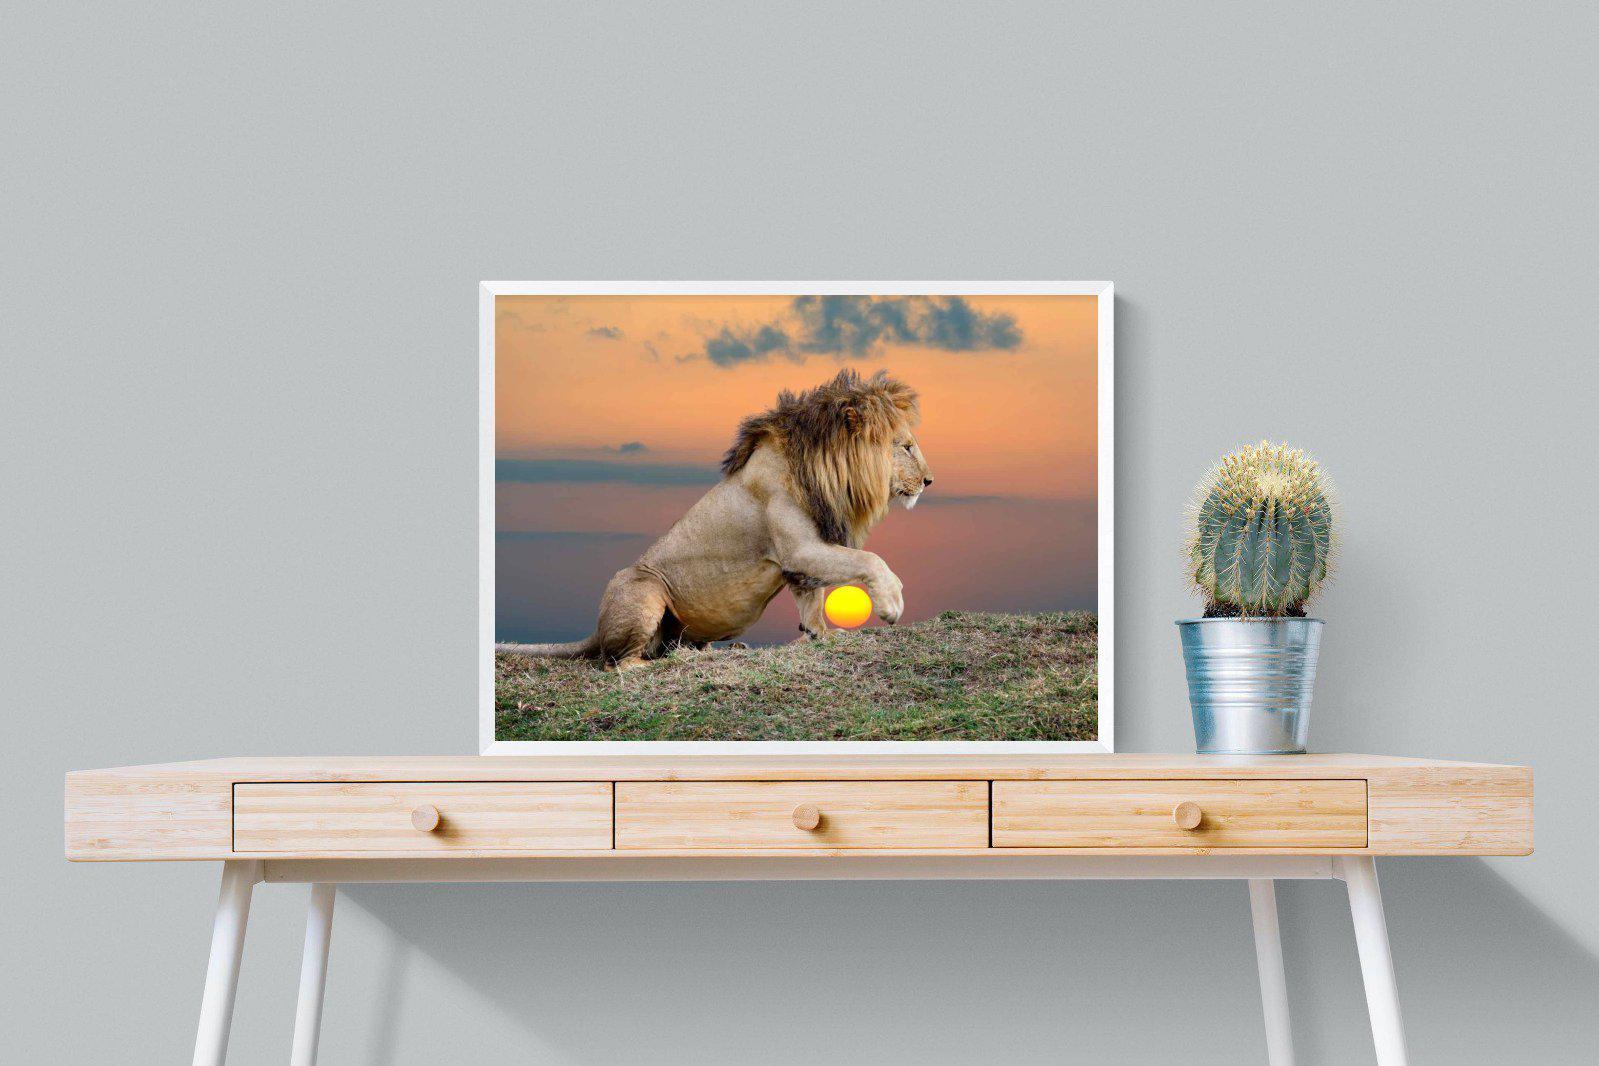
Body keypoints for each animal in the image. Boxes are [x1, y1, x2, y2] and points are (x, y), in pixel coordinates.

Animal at [497, 368, 934, 670]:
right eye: (906, 446)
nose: (930, 481)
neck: (824, 471)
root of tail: (596, 629)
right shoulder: (800, 548)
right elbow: (869, 560)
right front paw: (892, 602)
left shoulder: (800, 561)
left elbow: (811, 601)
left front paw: (818, 636)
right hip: (643, 587)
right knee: (620, 663)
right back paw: (680, 661)